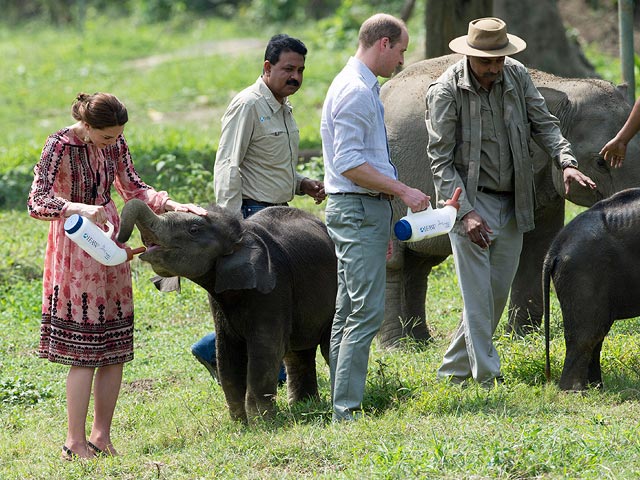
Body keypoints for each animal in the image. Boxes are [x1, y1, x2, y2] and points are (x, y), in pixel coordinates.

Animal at [117, 201, 338, 422]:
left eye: (193, 230)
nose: (121, 240)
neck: (240, 233)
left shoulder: (274, 287)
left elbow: (265, 350)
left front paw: (262, 423)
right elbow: (226, 353)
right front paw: (241, 423)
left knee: (323, 346)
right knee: (298, 352)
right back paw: (304, 405)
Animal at [544, 188, 640, 390]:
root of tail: (555, 247)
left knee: (597, 334)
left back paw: (596, 388)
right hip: (584, 272)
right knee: (587, 334)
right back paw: (575, 391)